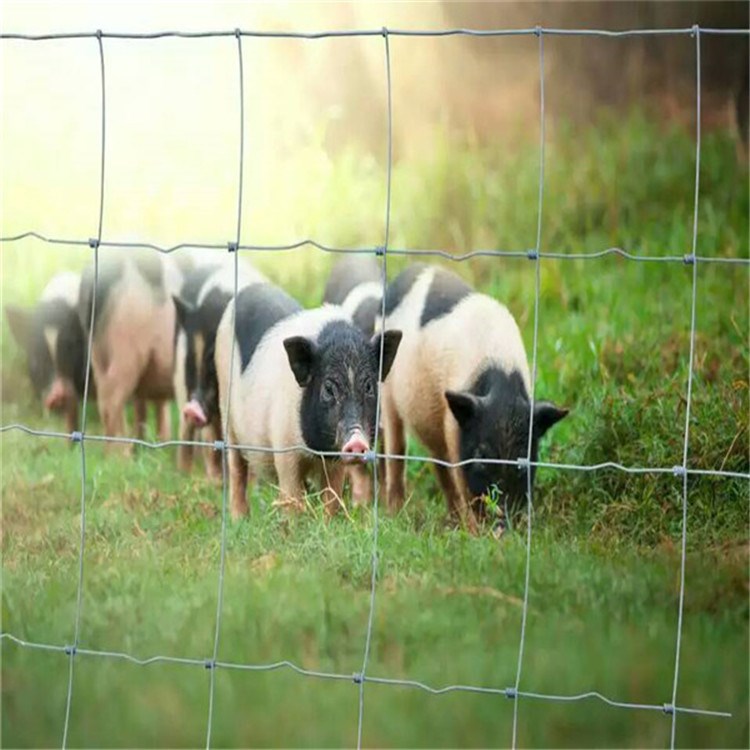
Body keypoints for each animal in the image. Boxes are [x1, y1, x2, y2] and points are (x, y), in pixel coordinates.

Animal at [174, 262, 270, 476]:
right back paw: (184, 473)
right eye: (190, 358)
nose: (193, 409)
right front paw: (215, 479)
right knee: (186, 433)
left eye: (212, 358)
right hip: (179, 383)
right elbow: (211, 437)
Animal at [217, 284, 402, 524]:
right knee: (236, 468)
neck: (316, 451)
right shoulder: (284, 447)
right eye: (329, 388)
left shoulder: (336, 459)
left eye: (369, 386)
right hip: (225, 408)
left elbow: (332, 496)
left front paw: (326, 525)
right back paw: (239, 520)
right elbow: (292, 495)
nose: (357, 441)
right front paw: (294, 527)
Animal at [384, 264, 568, 536]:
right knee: (396, 449)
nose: (502, 526)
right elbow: (464, 483)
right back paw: (395, 514)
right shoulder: (453, 429)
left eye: (523, 461)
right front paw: (475, 534)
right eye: (481, 456)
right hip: (386, 391)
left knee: (438, 465)